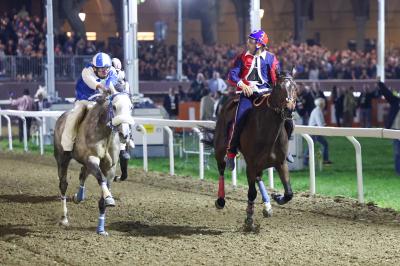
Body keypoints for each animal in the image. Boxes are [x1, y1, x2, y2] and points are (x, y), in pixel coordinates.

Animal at [54, 89, 134, 235]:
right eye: (114, 107)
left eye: (131, 107)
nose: (125, 134)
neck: (104, 133)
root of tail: (61, 117)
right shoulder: (91, 159)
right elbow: (100, 178)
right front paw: (109, 197)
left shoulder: (110, 167)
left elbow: (104, 191)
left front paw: (101, 229)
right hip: (62, 158)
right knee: (63, 184)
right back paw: (64, 218)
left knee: (82, 174)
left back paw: (78, 197)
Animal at [205, 71, 296, 231]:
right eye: (279, 88)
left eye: (295, 87)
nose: (289, 108)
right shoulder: (251, 165)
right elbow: (252, 193)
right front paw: (249, 219)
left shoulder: (280, 163)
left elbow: (289, 193)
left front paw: (277, 197)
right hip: (221, 149)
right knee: (221, 168)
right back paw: (220, 200)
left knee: (259, 177)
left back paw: (267, 206)